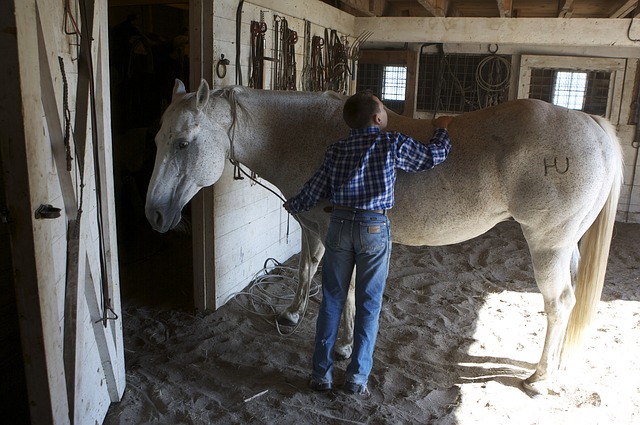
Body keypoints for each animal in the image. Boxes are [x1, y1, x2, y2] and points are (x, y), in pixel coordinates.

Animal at [145, 78, 620, 394]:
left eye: (184, 143)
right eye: (158, 139)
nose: (154, 214)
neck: (306, 133)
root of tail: (593, 126)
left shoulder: (332, 232)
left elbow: (340, 287)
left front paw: (339, 347)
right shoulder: (314, 229)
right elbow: (308, 271)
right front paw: (295, 316)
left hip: (548, 247)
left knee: (559, 305)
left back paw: (539, 379)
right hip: (565, 248)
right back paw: (554, 365)